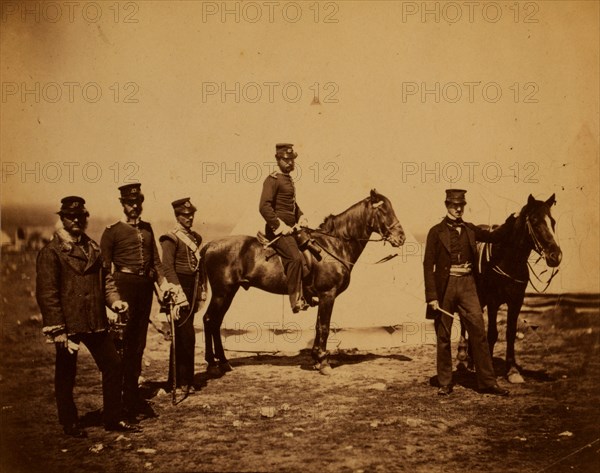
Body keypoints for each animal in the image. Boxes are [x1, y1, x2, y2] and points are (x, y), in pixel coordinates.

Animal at [199, 190, 406, 374]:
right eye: (383, 211)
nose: (401, 238)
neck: (334, 246)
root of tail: (209, 246)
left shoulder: (322, 297)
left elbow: (318, 326)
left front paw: (316, 359)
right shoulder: (328, 295)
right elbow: (324, 327)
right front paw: (323, 362)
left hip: (229, 292)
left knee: (216, 322)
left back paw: (224, 363)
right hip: (222, 292)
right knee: (209, 320)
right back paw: (212, 365)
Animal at [460, 194, 564, 382]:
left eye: (552, 221)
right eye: (535, 221)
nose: (555, 256)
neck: (507, 260)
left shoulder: (516, 301)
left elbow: (510, 333)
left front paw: (512, 371)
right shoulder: (493, 302)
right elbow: (492, 334)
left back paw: (472, 360)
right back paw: (464, 357)